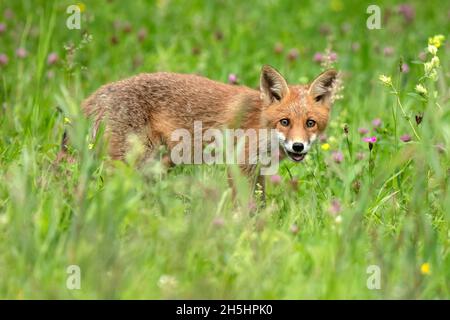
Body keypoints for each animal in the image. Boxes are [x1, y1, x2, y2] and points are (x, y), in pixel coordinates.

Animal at [82, 65, 338, 192]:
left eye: (310, 123)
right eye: (285, 122)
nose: (298, 146)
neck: (260, 125)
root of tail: (101, 91)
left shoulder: (257, 171)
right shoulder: (239, 165)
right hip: (133, 161)